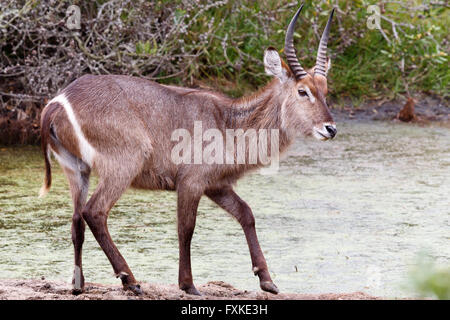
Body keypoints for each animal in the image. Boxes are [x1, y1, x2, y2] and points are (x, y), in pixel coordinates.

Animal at [39, 4, 338, 296]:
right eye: (302, 91)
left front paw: (266, 280)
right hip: (124, 165)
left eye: (325, 90)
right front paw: (188, 284)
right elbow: (186, 229)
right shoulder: (191, 182)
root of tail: (57, 102)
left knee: (76, 220)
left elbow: (247, 214)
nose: (331, 128)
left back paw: (78, 285)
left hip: (76, 169)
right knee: (94, 212)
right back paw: (129, 279)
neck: (229, 123)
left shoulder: (216, 185)